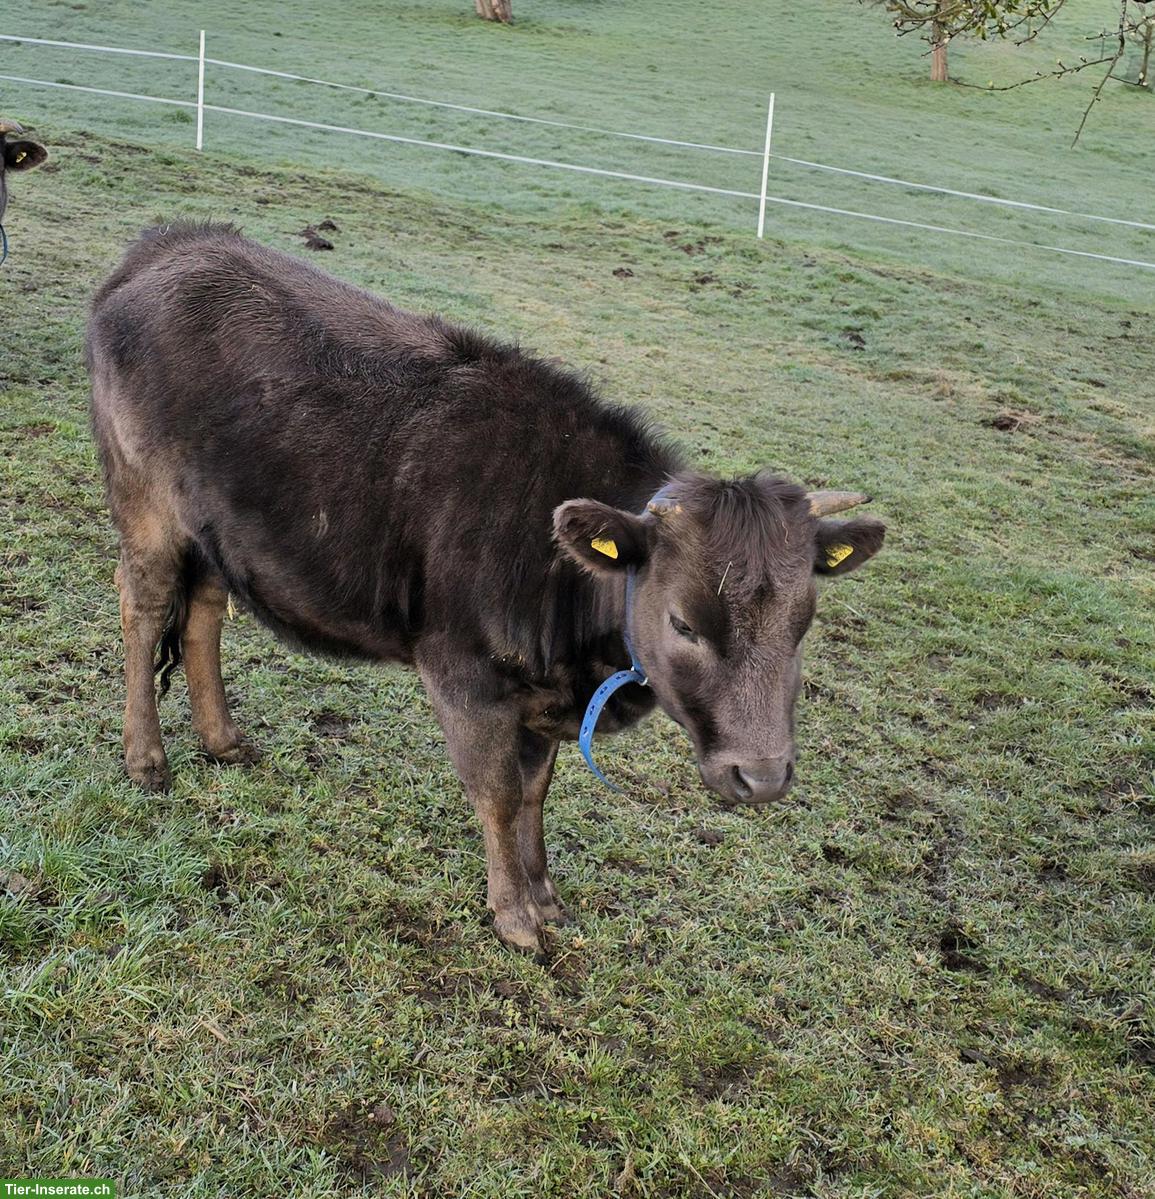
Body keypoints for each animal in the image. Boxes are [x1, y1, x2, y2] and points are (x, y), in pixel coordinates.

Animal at [88, 223, 885, 956]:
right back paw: (147, 760)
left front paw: (546, 895)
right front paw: (515, 916)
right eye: (684, 623)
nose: (763, 775)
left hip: (214, 529)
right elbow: (497, 793)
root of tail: (172, 243)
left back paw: (223, 741)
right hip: (145, 501)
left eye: (802, 624)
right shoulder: (463, 676)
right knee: (143, 606)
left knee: (202, 614)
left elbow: (535, 791)